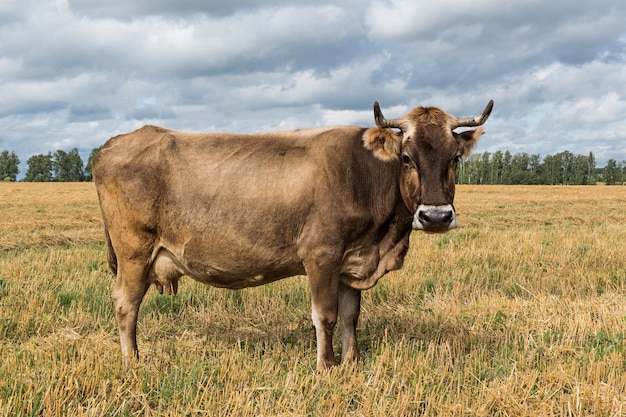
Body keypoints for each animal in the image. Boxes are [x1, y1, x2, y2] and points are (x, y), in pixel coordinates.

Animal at [92, 99, 492, 368]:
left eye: (455, 157)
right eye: (406, 157)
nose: (436, 216)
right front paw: (326, 366)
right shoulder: (321, 256)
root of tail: (116, 142)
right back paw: (132, 361)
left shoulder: (352, 261)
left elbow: (350, 315)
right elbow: (325, 315)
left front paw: (352, 362)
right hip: (134, 252)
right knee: (126, 304)